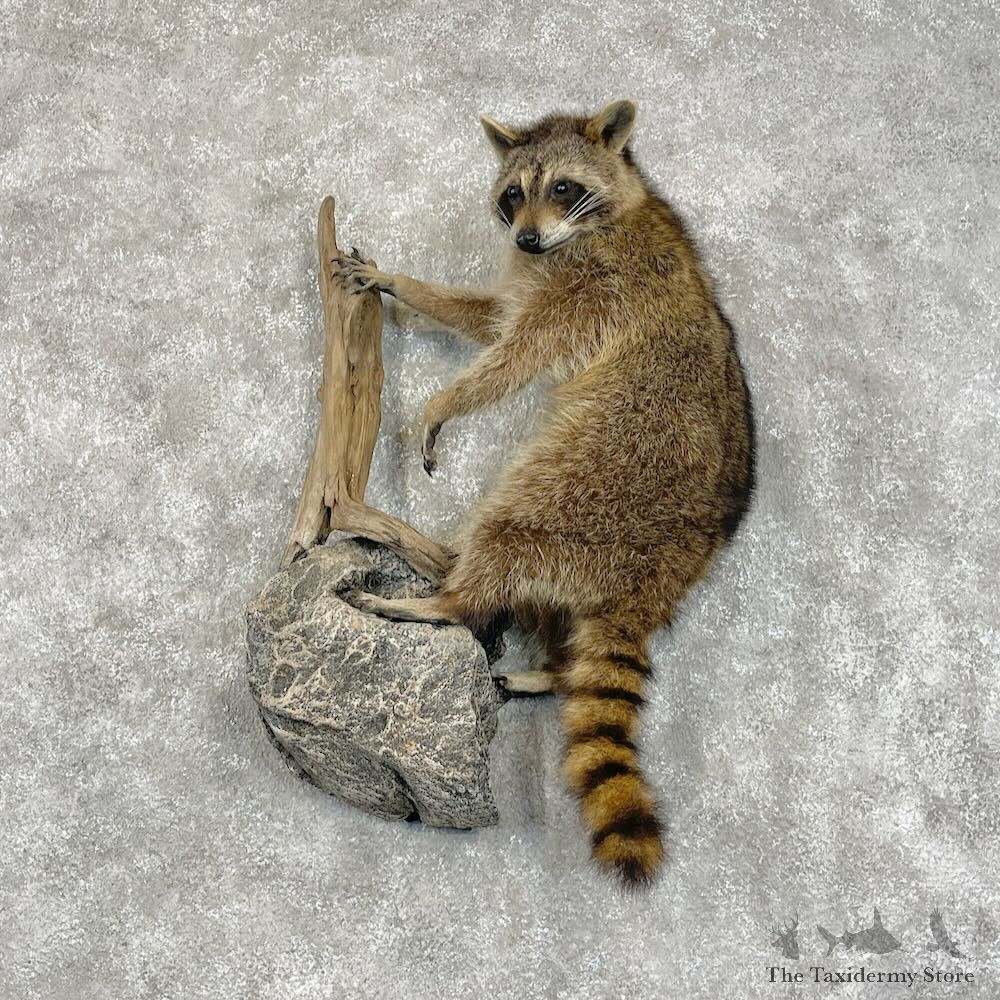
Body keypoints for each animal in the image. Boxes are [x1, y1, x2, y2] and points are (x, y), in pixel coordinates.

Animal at [334, 99, 755, 886]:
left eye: (562, 188)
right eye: (511, 195)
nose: (525, 238)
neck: (613, 207)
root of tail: (667, 574)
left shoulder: (593, 285)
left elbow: (514, 353)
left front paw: (447, 399)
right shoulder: (542, 272)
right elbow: (487, 316)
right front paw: (405, 284)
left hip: (604, 478)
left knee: (511, 520)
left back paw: (448, 599)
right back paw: (550, 670)